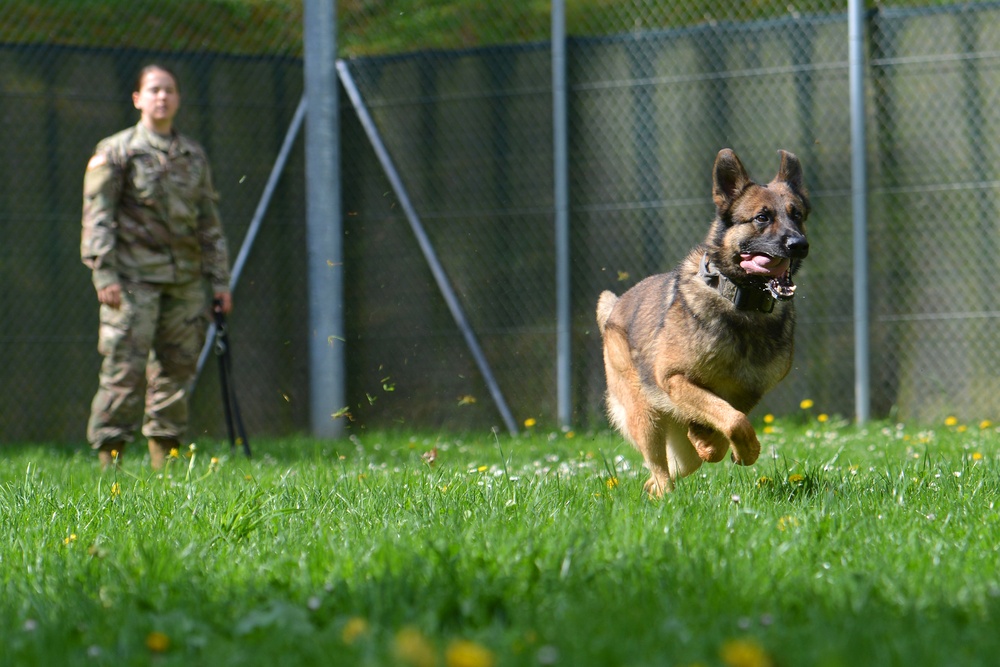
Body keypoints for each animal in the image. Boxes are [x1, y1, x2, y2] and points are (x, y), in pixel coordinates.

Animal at [596, 150, 808, 496]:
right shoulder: (674, 379)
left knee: (666, 472)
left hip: (677, 448)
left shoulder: (749, 392)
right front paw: (746, 450)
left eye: (798, 215)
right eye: (762, 218)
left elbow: (727, 422)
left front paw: (714, 443)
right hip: (646, 418)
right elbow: (734, 421)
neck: (741, 305)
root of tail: (614, 310)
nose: (799, 244)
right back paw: (667, 496)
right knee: (661, 472)